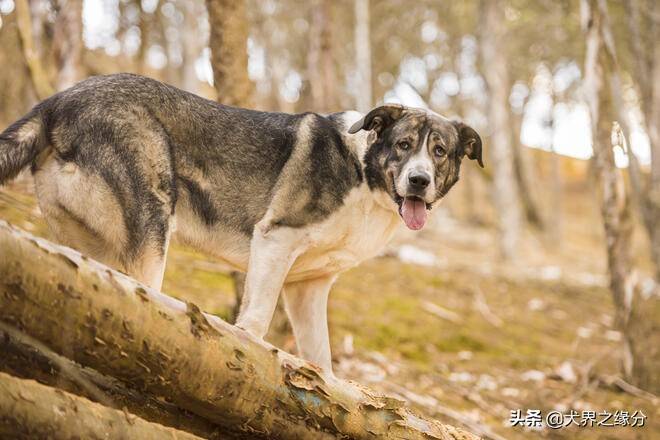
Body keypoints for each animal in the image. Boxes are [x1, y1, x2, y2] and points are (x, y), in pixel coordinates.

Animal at [1, 74, 484, 372]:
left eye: (439, 151)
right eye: (403, 145)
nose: (419, 181)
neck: (364, 172)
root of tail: (56, 101)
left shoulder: (307, 288)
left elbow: (322, 360)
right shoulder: (275, 240)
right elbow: (255, 320)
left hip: (86, 246)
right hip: (153, 222)